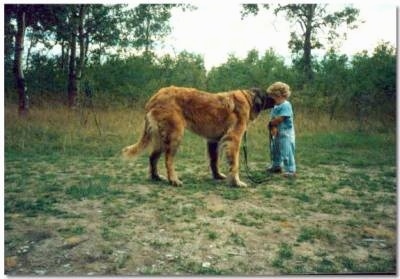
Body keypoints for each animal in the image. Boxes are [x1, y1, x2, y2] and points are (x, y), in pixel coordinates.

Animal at [122, 86, 276, 188]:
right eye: (268, 95)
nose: (276, 99)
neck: (248, 98)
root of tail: (155, 96)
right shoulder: (233, 139)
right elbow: (234, 164)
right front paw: (236, 182)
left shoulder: (213, 140)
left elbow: (214, 161)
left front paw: (218, 176)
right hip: (175, 135)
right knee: (168, 160)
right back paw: (174, 180)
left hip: (161, 138)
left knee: (153, 157)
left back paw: (156, 177)